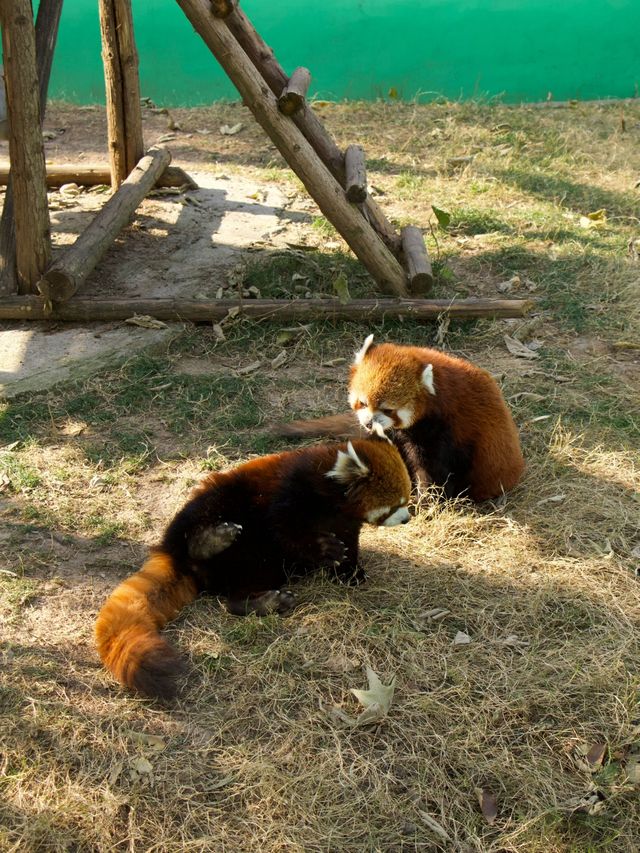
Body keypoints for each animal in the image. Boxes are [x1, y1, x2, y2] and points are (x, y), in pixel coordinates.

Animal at [95, 440, 410, 700]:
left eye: (406, 499)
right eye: (396, 504)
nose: (408, 518)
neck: (331, 496)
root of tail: (176, 558)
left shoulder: (345, 522)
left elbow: (348, 544)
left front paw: (350, 572)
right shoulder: (290, 491)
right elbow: (285, 530)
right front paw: (324, 550)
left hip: (259, 563)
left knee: (236, 597)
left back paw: (265, 601)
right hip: (219, 499)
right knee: (204, 520)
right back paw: (208, 541)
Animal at [280, 336, 524, 502]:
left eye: (388, 409)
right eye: (363, 403)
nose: (368, 423)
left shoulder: (442, 430)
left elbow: (432, 469)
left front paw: (427, 500)